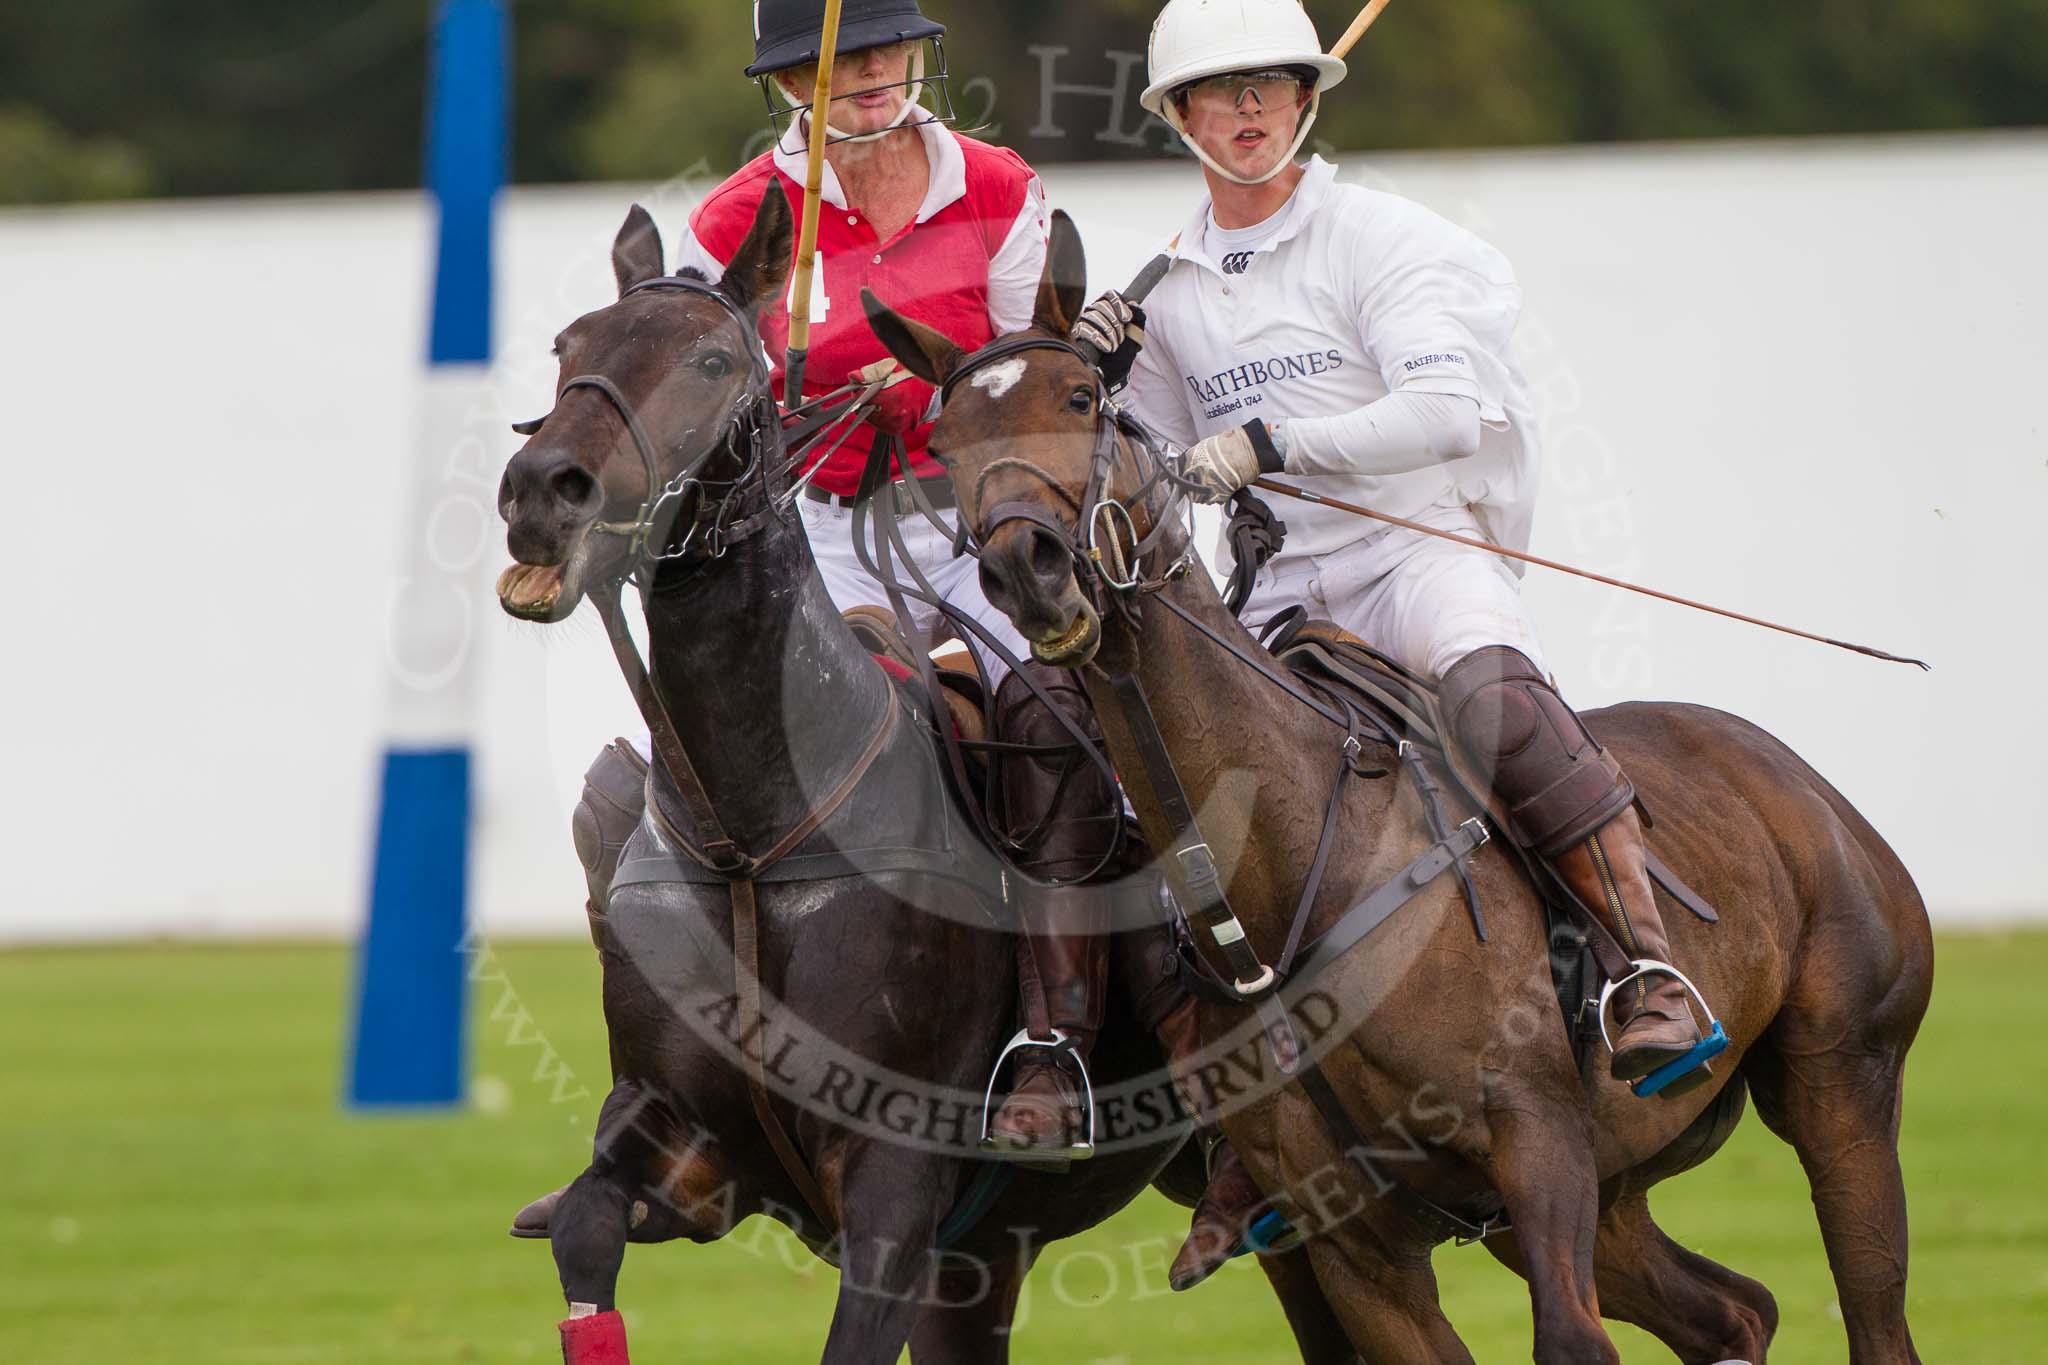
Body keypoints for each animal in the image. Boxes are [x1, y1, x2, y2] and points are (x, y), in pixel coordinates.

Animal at [495, 192, 1359, 1365]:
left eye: (715, 359)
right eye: (567, 347)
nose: (546, 492)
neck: (751, 837)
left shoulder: (894, 1185)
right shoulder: (680, 1142)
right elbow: (586, 1222)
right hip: (985, 1259)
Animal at [864, 213, 1933, 1365]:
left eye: (1075, 398)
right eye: (944, 440)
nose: (1028, 570)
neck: (1284, 874)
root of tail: (1803, 782)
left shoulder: (1537, 1142)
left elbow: (1570, 1339)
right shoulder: (1353, 1240)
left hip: (1841, 1081)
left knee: (1870, 1308)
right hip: (1611, 1189)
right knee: (1737, 1307)